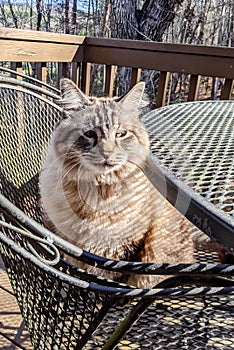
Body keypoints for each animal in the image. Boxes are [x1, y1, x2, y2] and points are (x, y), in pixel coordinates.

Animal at [39, 78, 195, 288]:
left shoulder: (117, 250)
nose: (107, 153)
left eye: (121, 134)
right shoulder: (73, 244)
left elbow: (101, 281)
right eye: (89, 134)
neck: (98, 192)